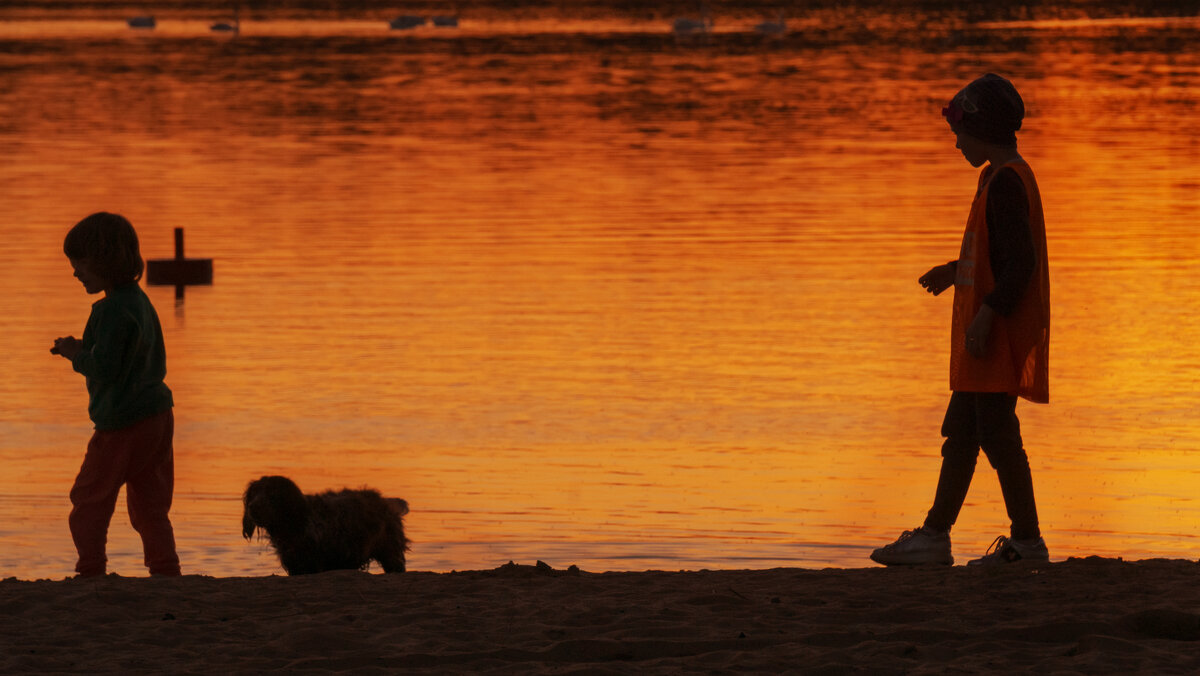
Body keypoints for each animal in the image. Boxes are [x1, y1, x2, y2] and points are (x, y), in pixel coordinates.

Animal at [241, 475, 410, 576]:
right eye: (254, 494)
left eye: (272, 496)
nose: (252, 507)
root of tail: (387, 501)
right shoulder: (296, 565)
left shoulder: (314, 563)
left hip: (390, 552)